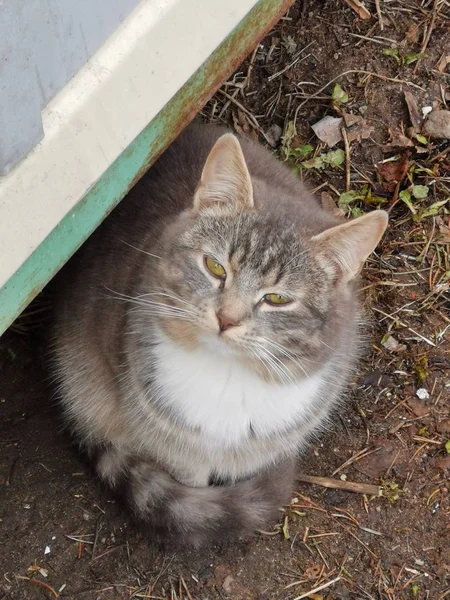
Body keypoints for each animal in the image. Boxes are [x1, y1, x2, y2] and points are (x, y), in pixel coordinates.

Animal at [52, 125, 388, 544]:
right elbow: (192, 484)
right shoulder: (173, 443)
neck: (229, 377)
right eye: (215, 267)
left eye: (277, 299)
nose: (227, 318)